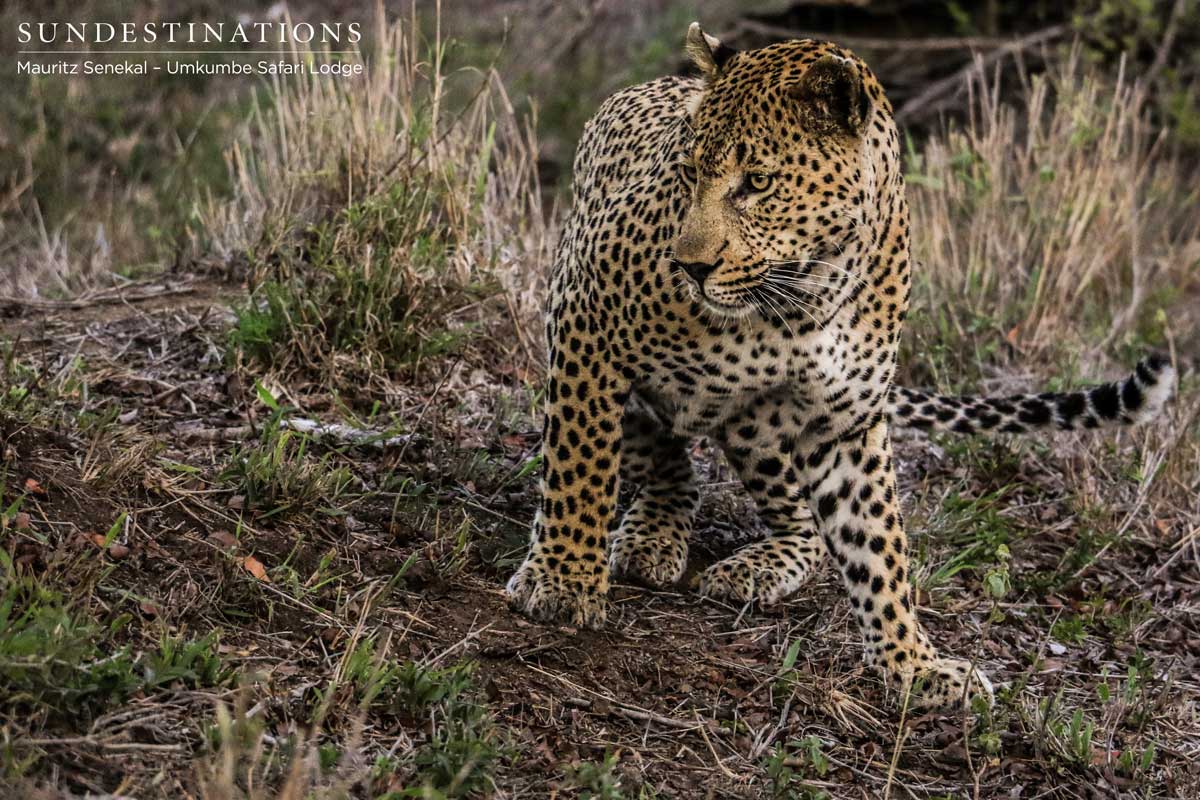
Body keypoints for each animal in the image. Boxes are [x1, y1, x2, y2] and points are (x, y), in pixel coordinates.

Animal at [505, 23, 1175, 711]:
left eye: (757, 182)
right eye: (688, 171)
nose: (689, 266)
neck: (807, 291)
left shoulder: (845, 423)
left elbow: (878, 546)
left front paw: (915, 665)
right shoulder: (583, 319)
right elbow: (580, 465)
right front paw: (563, 580)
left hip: (758, 428)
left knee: (799, 524)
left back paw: (746, 566)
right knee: (667, 464)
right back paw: (650, 535)